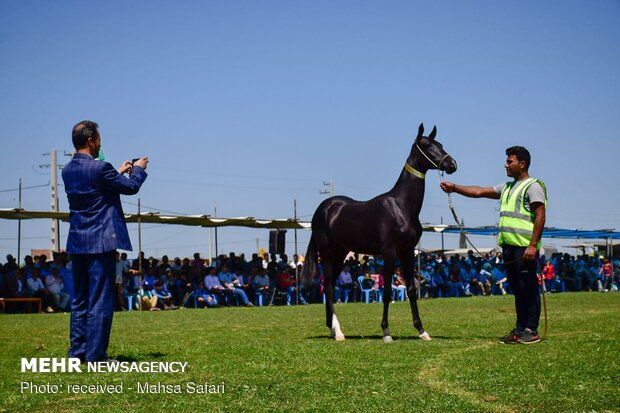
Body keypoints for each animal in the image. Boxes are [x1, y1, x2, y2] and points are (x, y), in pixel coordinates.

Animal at [304, 122, 456, 342]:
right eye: (427, 145)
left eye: (440, 144)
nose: (452, 164)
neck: (401, 207)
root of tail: (323, 208)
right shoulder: (389, 253)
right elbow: (386, 292)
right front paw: (386, 332)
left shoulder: (407, 252)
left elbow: (411, 289)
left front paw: (422, 331)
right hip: (327, 253)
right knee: (330, 288)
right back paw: (338, 332)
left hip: (341, 253)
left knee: (331, 285)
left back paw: (332, 328)